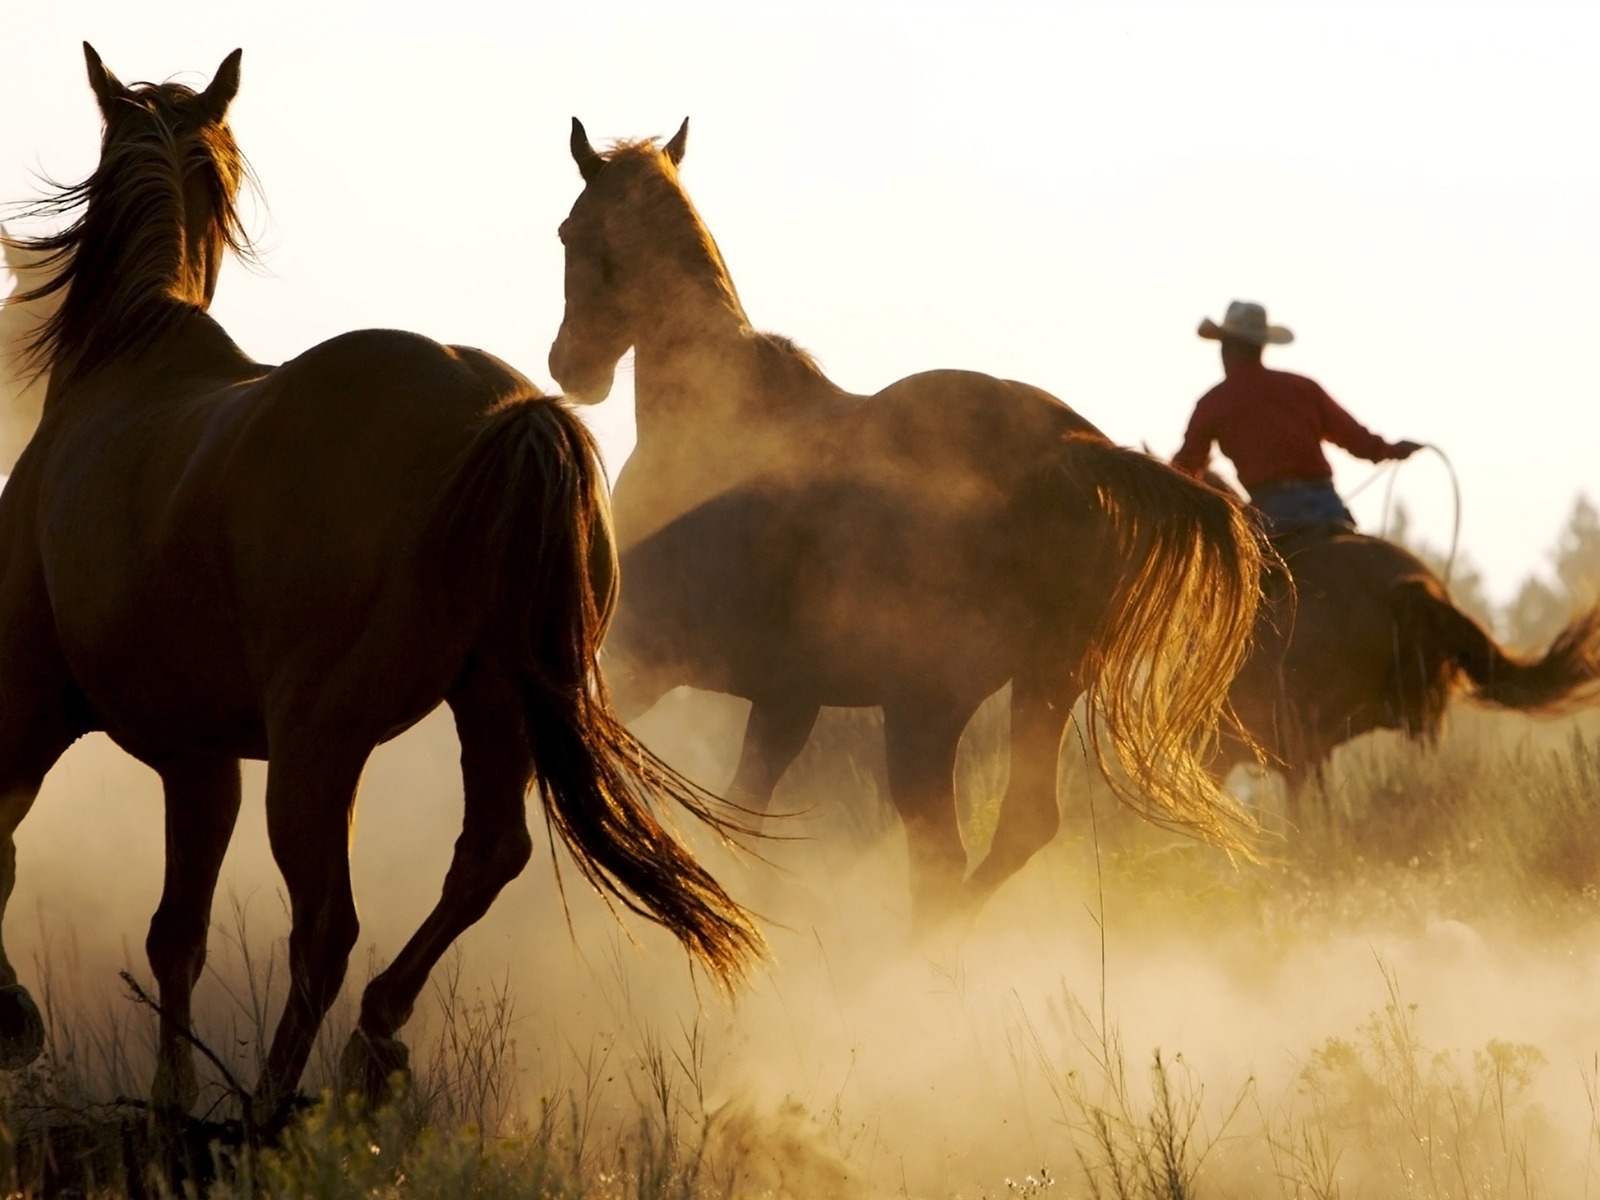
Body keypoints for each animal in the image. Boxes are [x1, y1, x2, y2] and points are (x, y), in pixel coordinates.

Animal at [0, 49, 761, 1126]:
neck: (123, 364)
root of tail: (507, 413)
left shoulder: (35, 707)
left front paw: (26, 1023)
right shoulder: (200, 759)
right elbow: (174, 932)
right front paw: (170, 1099)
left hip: (320, 747)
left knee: (325, 927)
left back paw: (274, 1106)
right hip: (486, 707)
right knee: (482, 859)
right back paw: (373, 1039)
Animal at [544, 122, 1267, 928]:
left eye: (569, 231)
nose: (570, 366)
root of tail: (1069, 451)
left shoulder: (642, 659)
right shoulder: (787, 698)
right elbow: (744, 814)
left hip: (927, 709)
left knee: (943, 855)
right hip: (1041, 685)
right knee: (1014, 831)